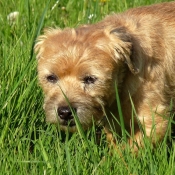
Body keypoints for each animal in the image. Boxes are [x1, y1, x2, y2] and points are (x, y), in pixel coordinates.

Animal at [34, 1, 175, 152]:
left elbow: (129, 150)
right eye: (51, 77)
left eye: (90, 79)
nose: (65, 112)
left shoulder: (154, 121)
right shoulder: (114, 121)